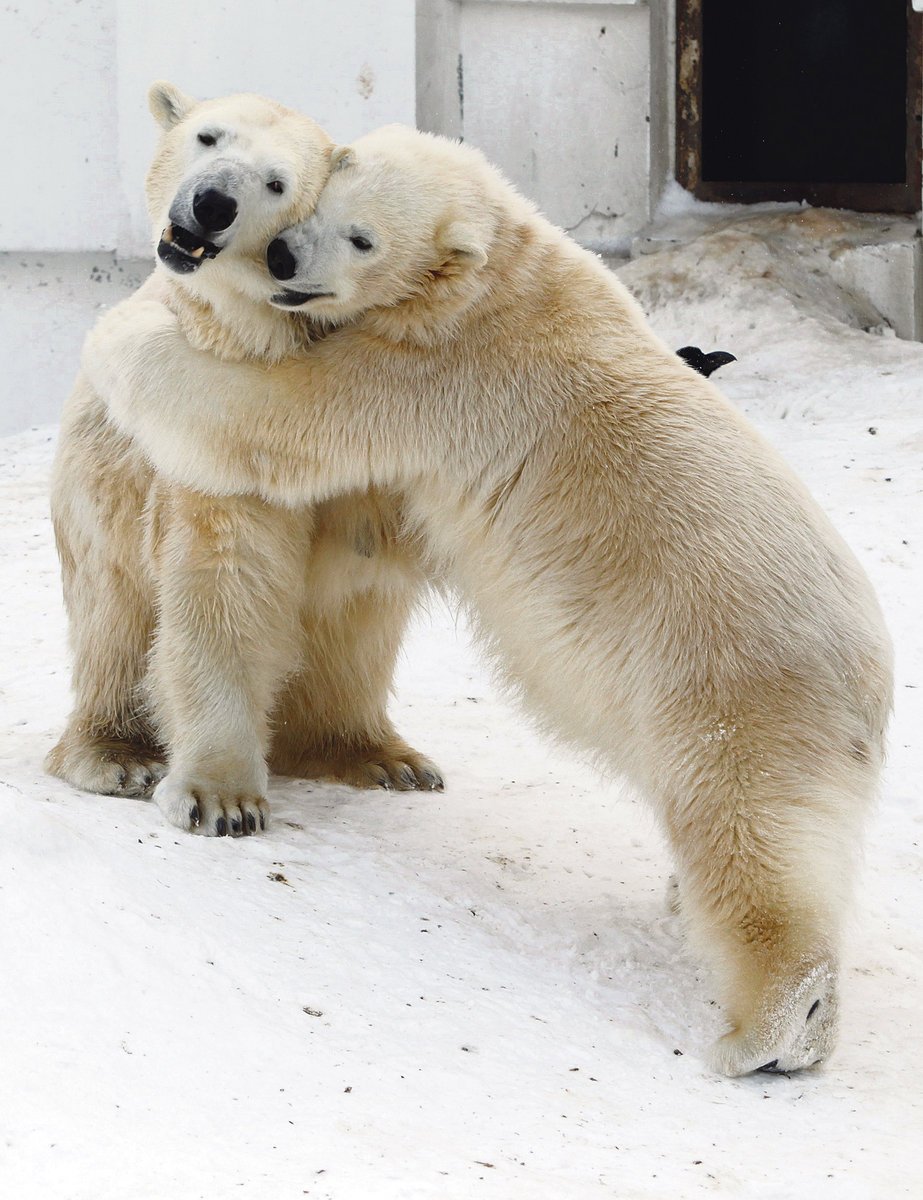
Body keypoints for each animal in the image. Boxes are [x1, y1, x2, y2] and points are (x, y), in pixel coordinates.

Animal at [45, 87, 441, 835]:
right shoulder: (211, 425)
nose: (211, 203)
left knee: (357, 630)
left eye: (277, 183)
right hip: (98, 503)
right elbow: (224, 578)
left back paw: (382, 756)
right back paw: (117, 754)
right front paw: (219, 798)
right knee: (115, 620)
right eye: (207, 136)